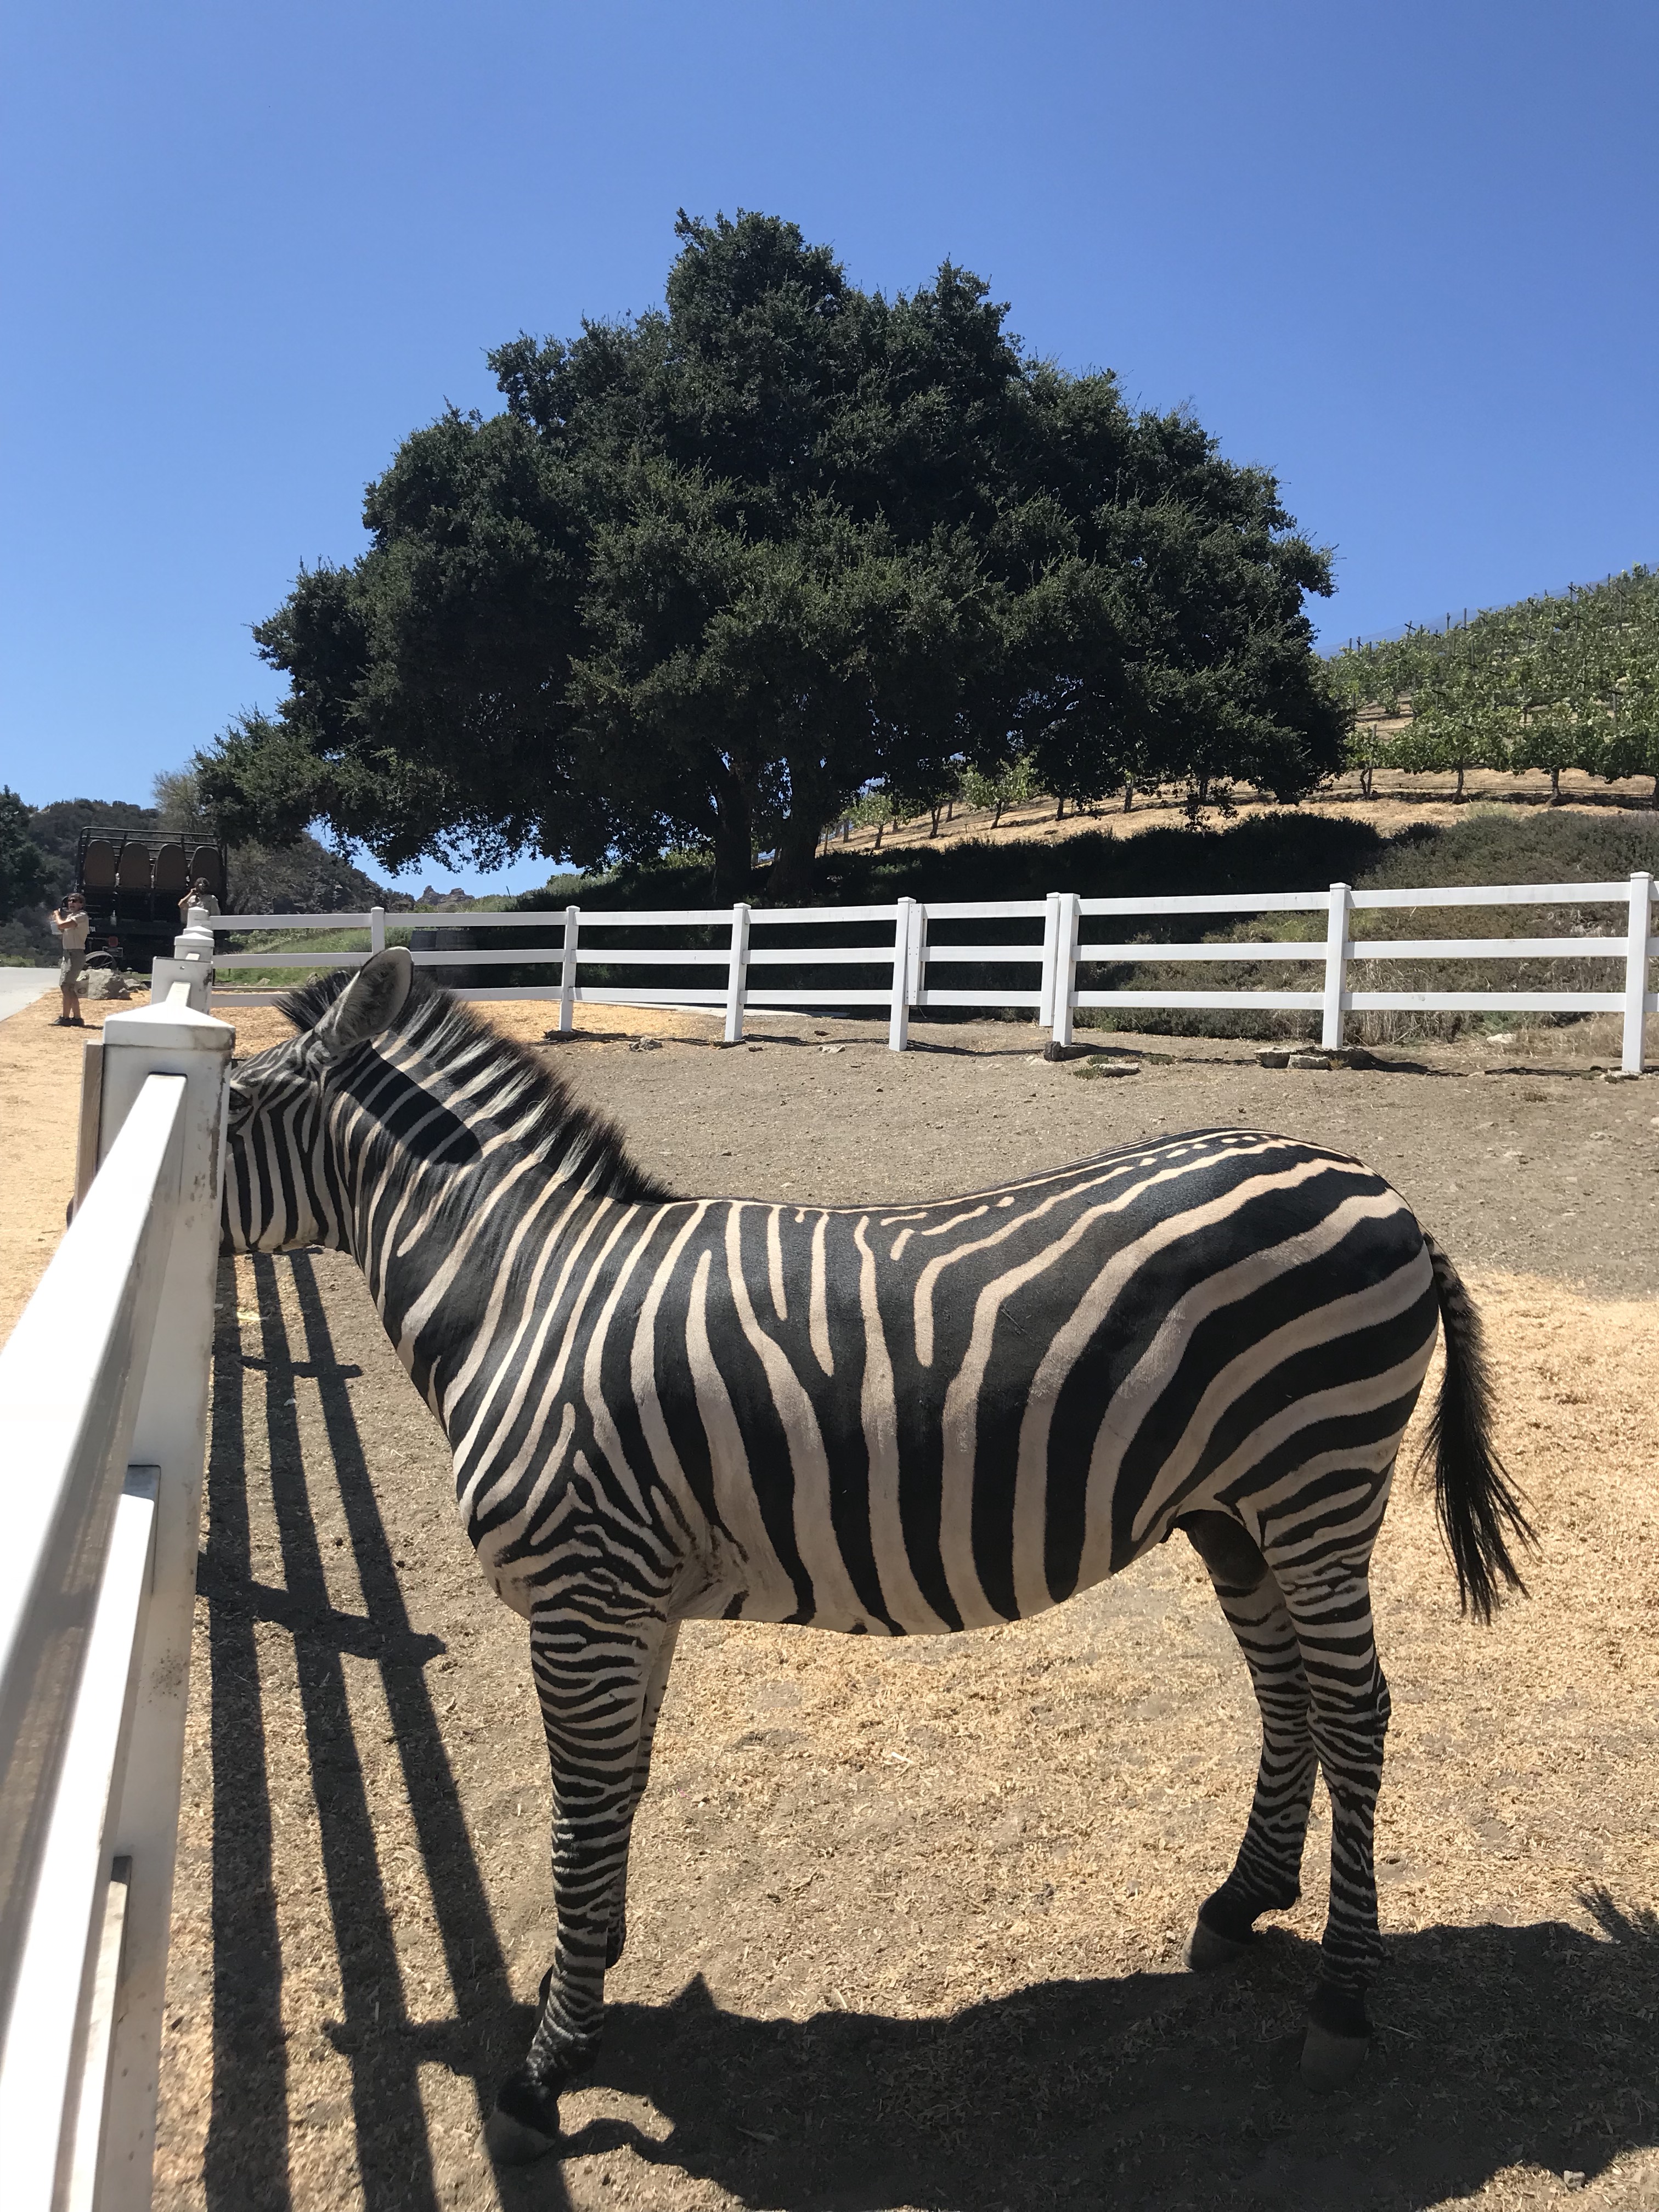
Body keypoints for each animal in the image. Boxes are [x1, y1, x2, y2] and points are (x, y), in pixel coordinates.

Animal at [218, 946, 1531, 2159]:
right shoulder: (630, 1602)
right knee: (1288, 1694)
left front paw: (544, 2069)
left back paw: (1341, 2004)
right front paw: (583, 1998)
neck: (525, 1300)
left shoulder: (582, 1595)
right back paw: (1240, 1903)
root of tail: (1374, 1186)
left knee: (1355, 1713)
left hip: (1318, 1482)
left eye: (229, 1112)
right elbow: (619, 1797)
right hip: (1236, 1510)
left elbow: (579, 1818)